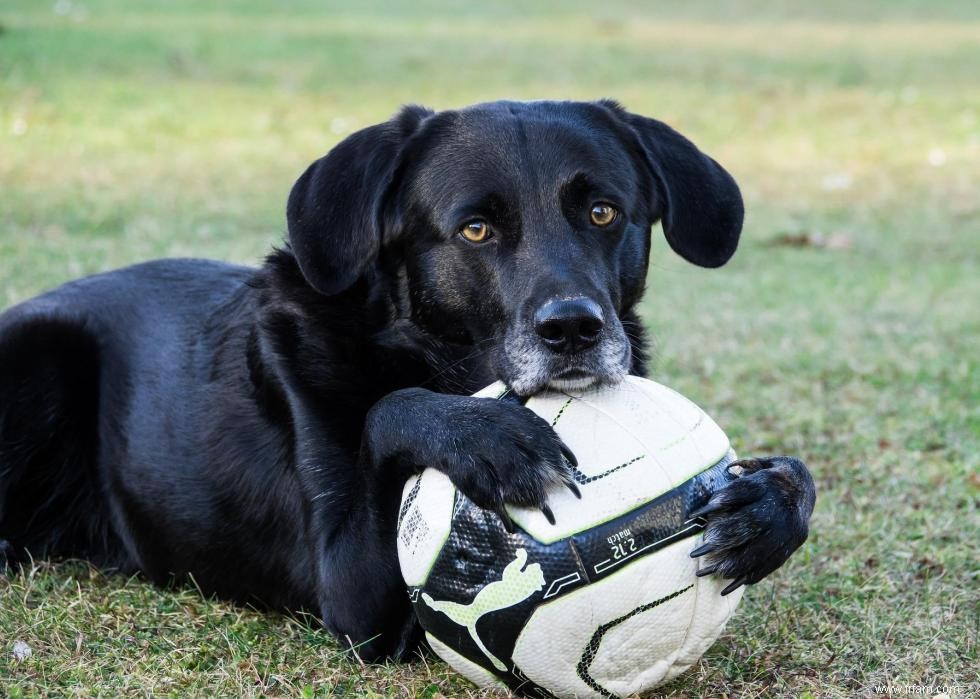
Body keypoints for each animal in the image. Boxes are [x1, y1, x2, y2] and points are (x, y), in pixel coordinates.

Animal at [0, 100, 812, 660]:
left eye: (604, 212)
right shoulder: (354, 597)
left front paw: (768, 506)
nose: (574, 330)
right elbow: (385, 409)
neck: (432, 354)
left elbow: (795, 475)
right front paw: (488, 438)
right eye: (476, 229)